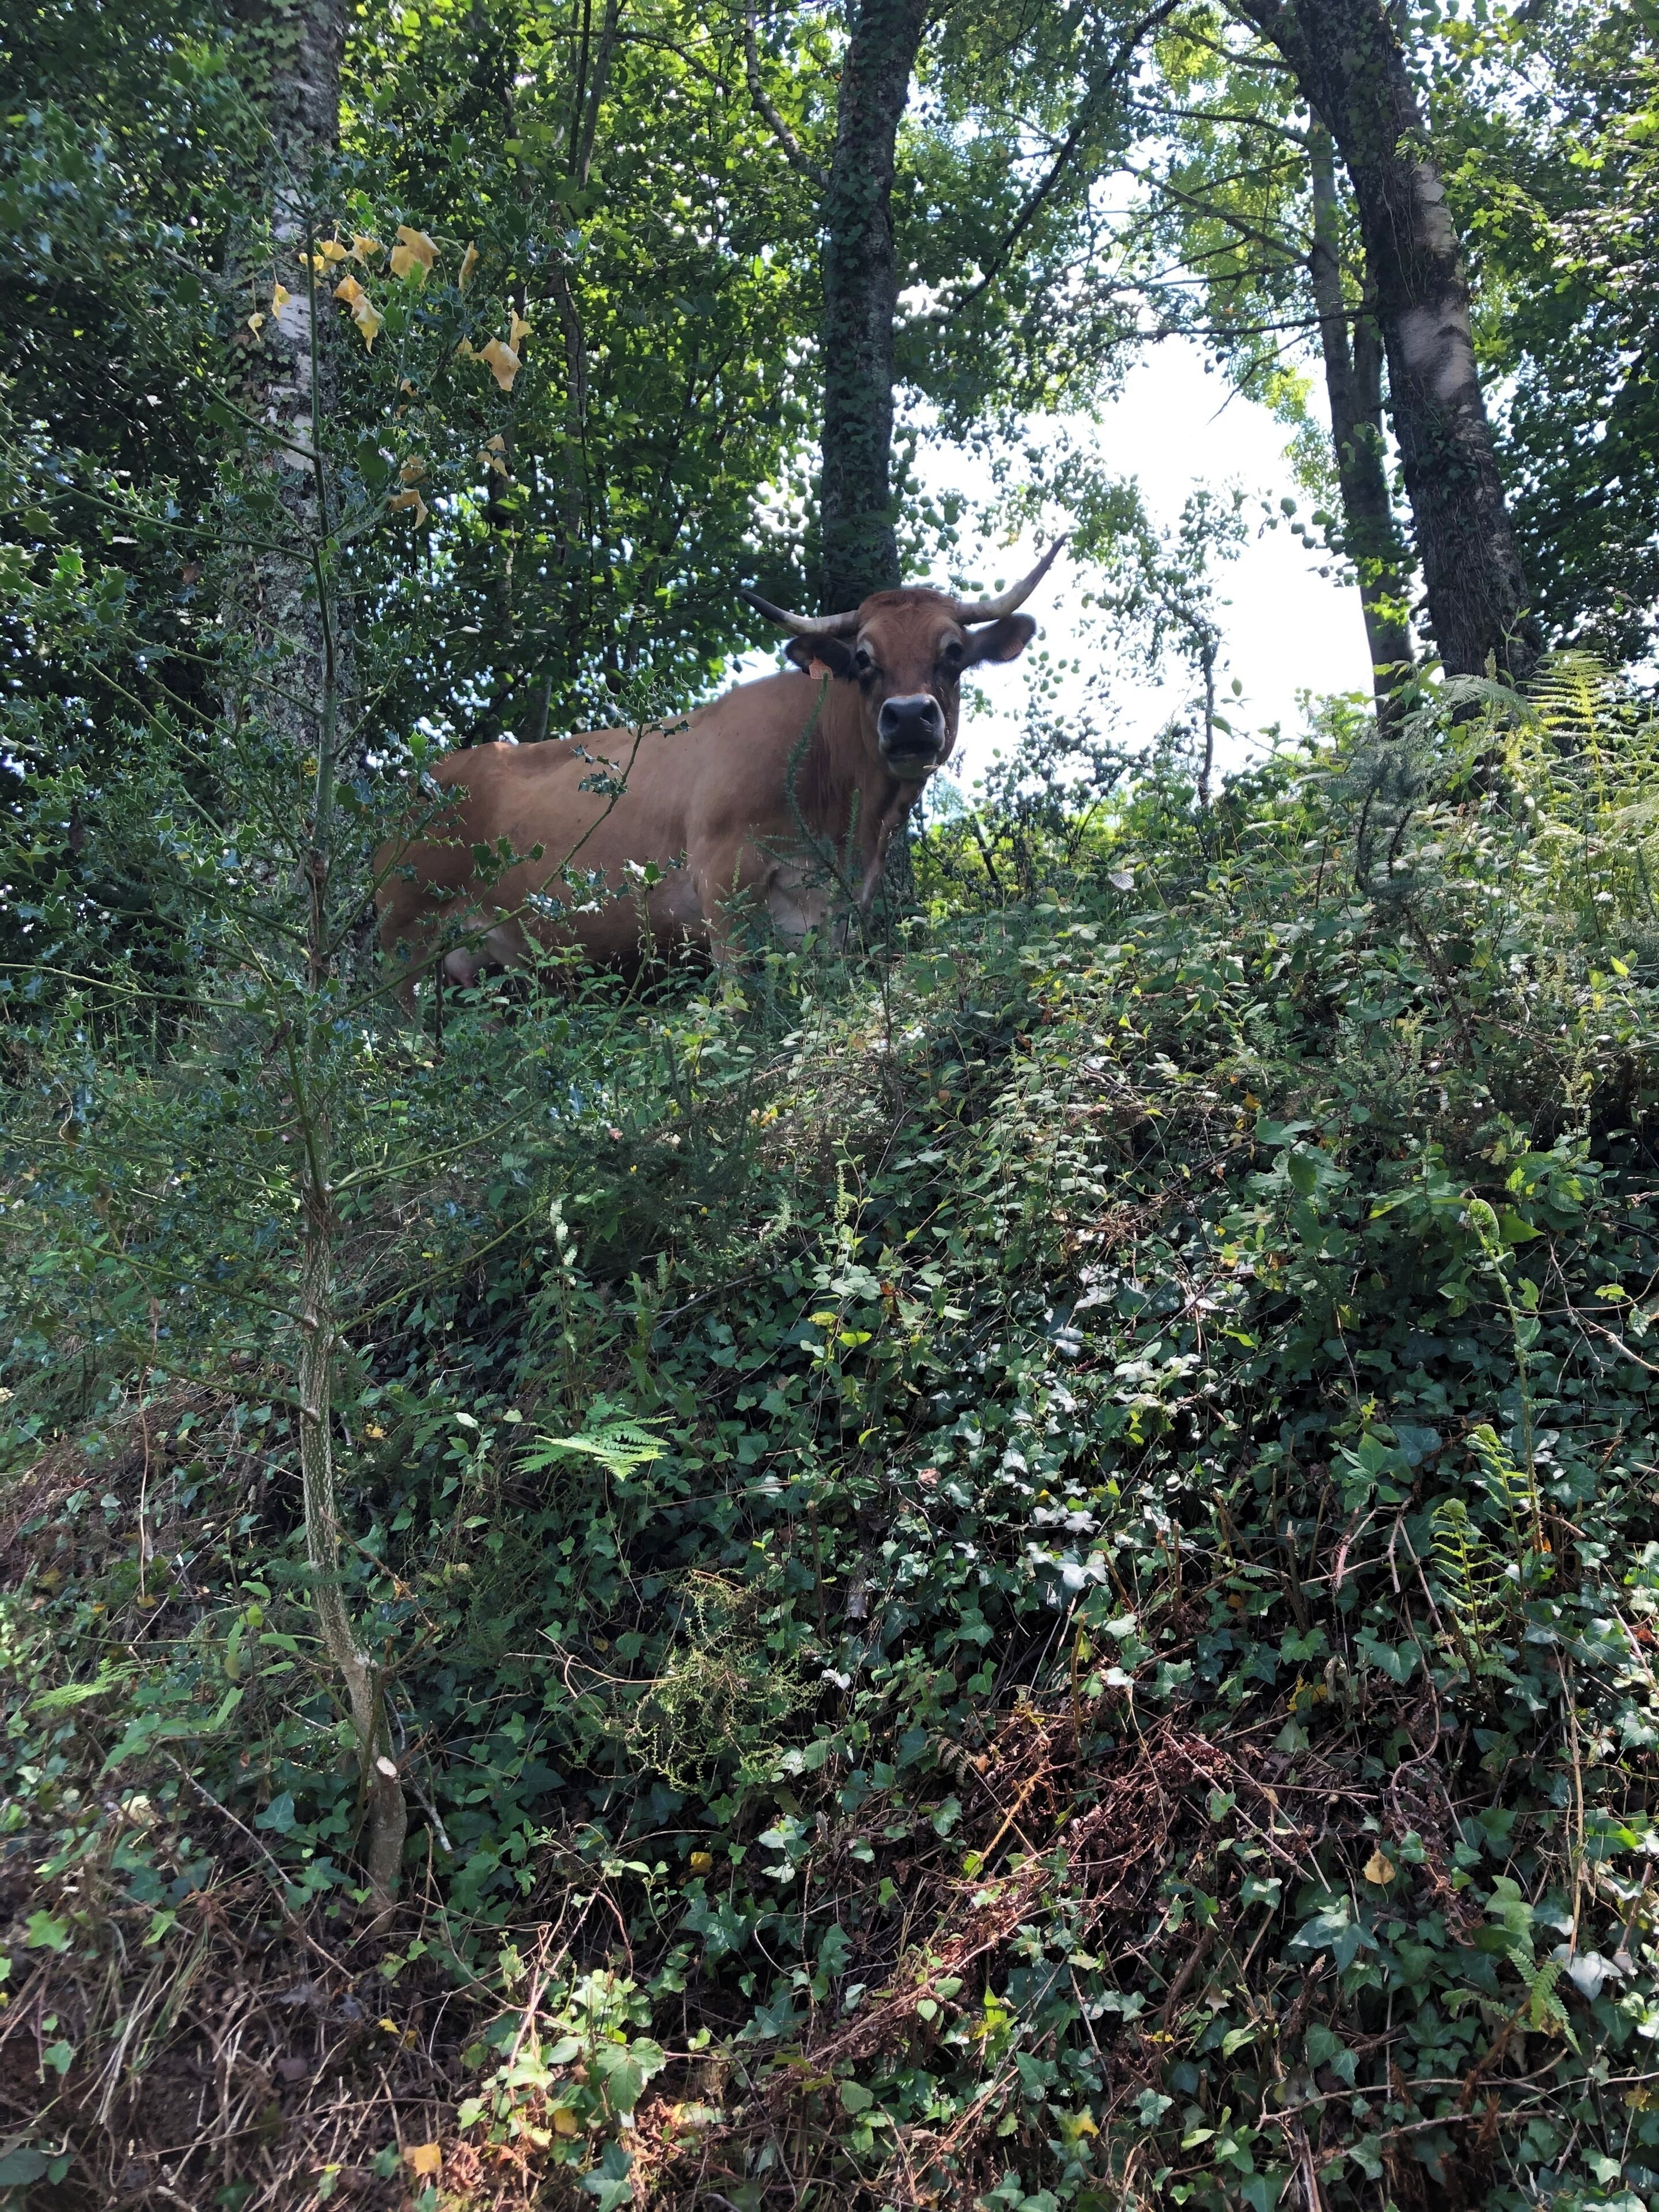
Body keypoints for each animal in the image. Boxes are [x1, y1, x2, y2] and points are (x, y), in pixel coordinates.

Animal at [373, 540, 1063, 992]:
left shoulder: (830, 915)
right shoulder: (721, 882)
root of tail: (419, 780)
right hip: (400, 939)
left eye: (954, 653)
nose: (912, 717)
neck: (845, 823)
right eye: (865, 658)